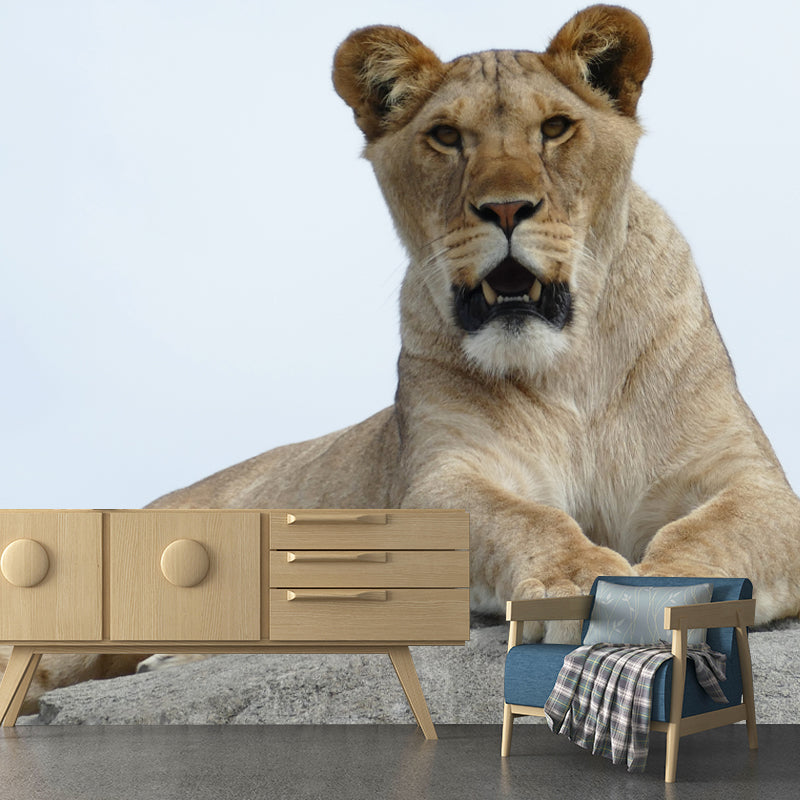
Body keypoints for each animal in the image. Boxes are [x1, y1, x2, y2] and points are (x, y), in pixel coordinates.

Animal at [6, 4, 800, 710]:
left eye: (555, 128)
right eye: (446, 136)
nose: (505, 209)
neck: (569, 363)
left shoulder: (752, 479)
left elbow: (708, 528)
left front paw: (657, 596)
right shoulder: (438, 484)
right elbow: (527, 519)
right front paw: (577, 583)